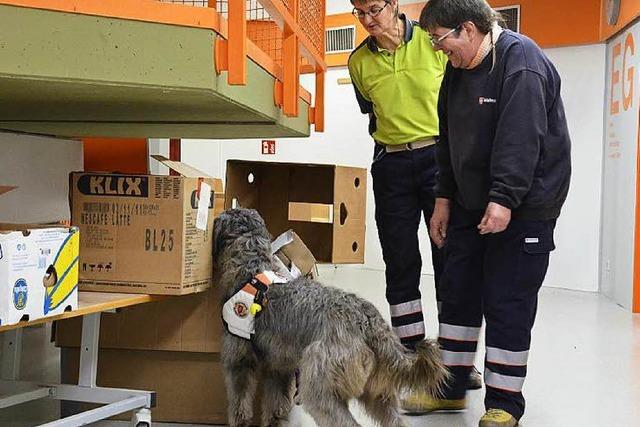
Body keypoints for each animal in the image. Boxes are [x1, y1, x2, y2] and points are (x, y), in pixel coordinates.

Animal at [212, 210, 448, 427]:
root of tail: (369, 323)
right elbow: (275, 408)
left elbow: (239, 404)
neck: (253, 266)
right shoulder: (278, 367)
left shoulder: (239, 361)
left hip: (320, 388)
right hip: (377, 394)